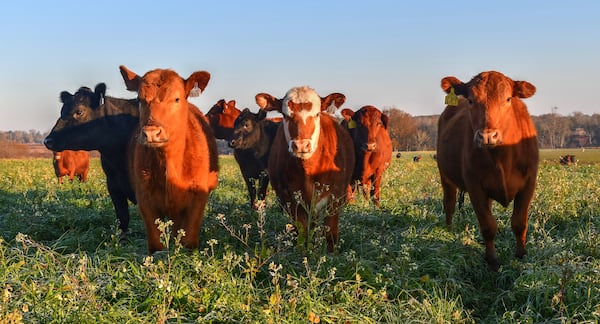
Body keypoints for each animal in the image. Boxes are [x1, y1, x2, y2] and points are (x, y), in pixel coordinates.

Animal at [118, 65, 219, 253]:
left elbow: (189, 239)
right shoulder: (144, 198)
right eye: (139, 99)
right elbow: (155, 243)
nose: (151, 133)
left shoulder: (199, 197)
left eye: (177, 99)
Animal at [255, 87, 354, 252]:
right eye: (285, 115)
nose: (301, 145)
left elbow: (331, 231)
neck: (308, 170)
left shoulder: (336, 196)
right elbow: (301, 231)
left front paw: (331, 253)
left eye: (317, 113)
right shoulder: (289, 199)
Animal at [436, 71, 540, 270]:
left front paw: (521, 256)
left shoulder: (529, 183)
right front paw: (492, 261)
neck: (502, 158)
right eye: (470, 100)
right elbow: (488, 226)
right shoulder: (475, 186)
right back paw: (449, 230)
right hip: (445, 176)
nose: (487, 136)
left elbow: (519, 223)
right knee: (449, 203)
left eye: (507, 99)